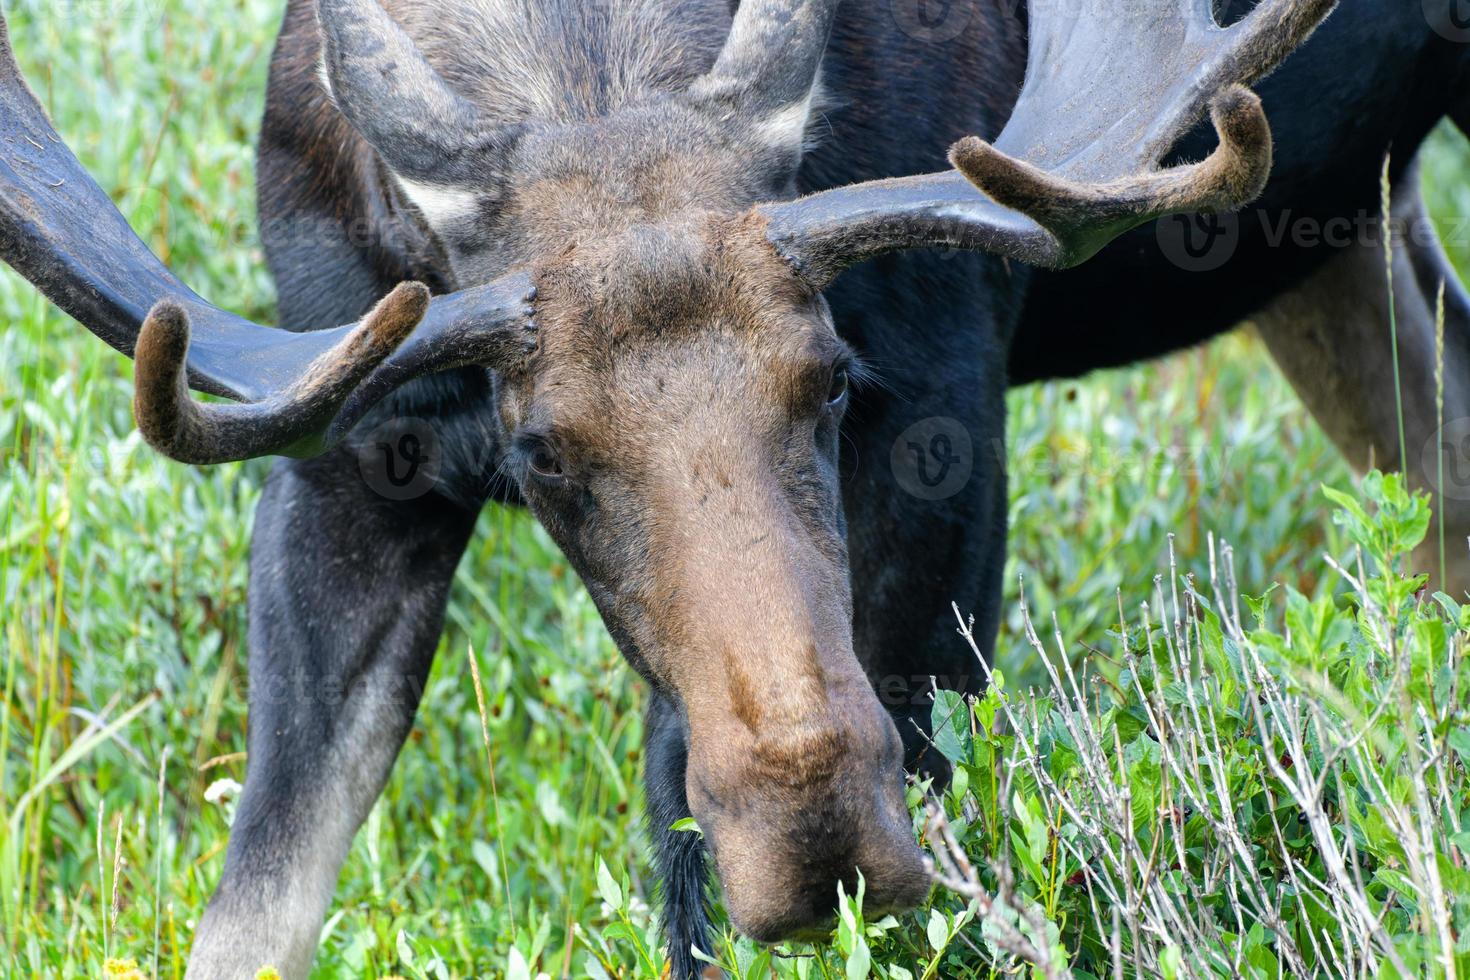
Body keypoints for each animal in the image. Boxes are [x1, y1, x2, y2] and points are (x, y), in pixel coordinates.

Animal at [2, 0, 1470, 975]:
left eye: (830, 379)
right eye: (541, 450)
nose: (815, 836)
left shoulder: (945, 396)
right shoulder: (349, 445)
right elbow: (256, 905)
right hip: (1338, 233)